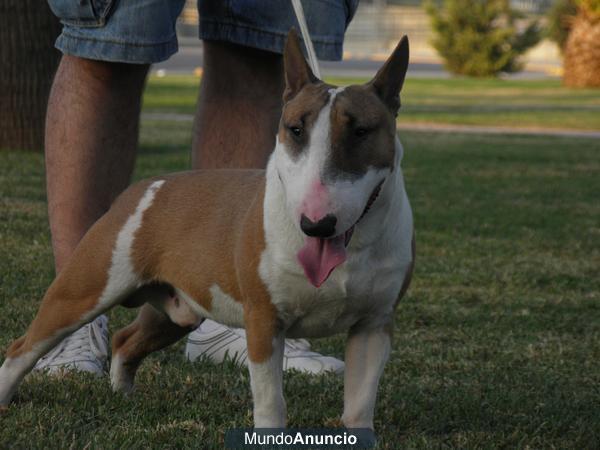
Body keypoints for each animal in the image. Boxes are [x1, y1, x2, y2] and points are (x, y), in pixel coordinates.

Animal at [0, 29, 412, 430]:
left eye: (361, 131)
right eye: (295, 129)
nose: (315, 224)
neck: (352, 248)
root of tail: (142, 188)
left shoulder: (373, 327)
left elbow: (359, 406)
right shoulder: (264, 323)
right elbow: (271, 403)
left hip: (174, 311)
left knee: (125, 340)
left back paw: (122, 394)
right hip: (81, 292)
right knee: (23, 347)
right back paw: (8, 394)